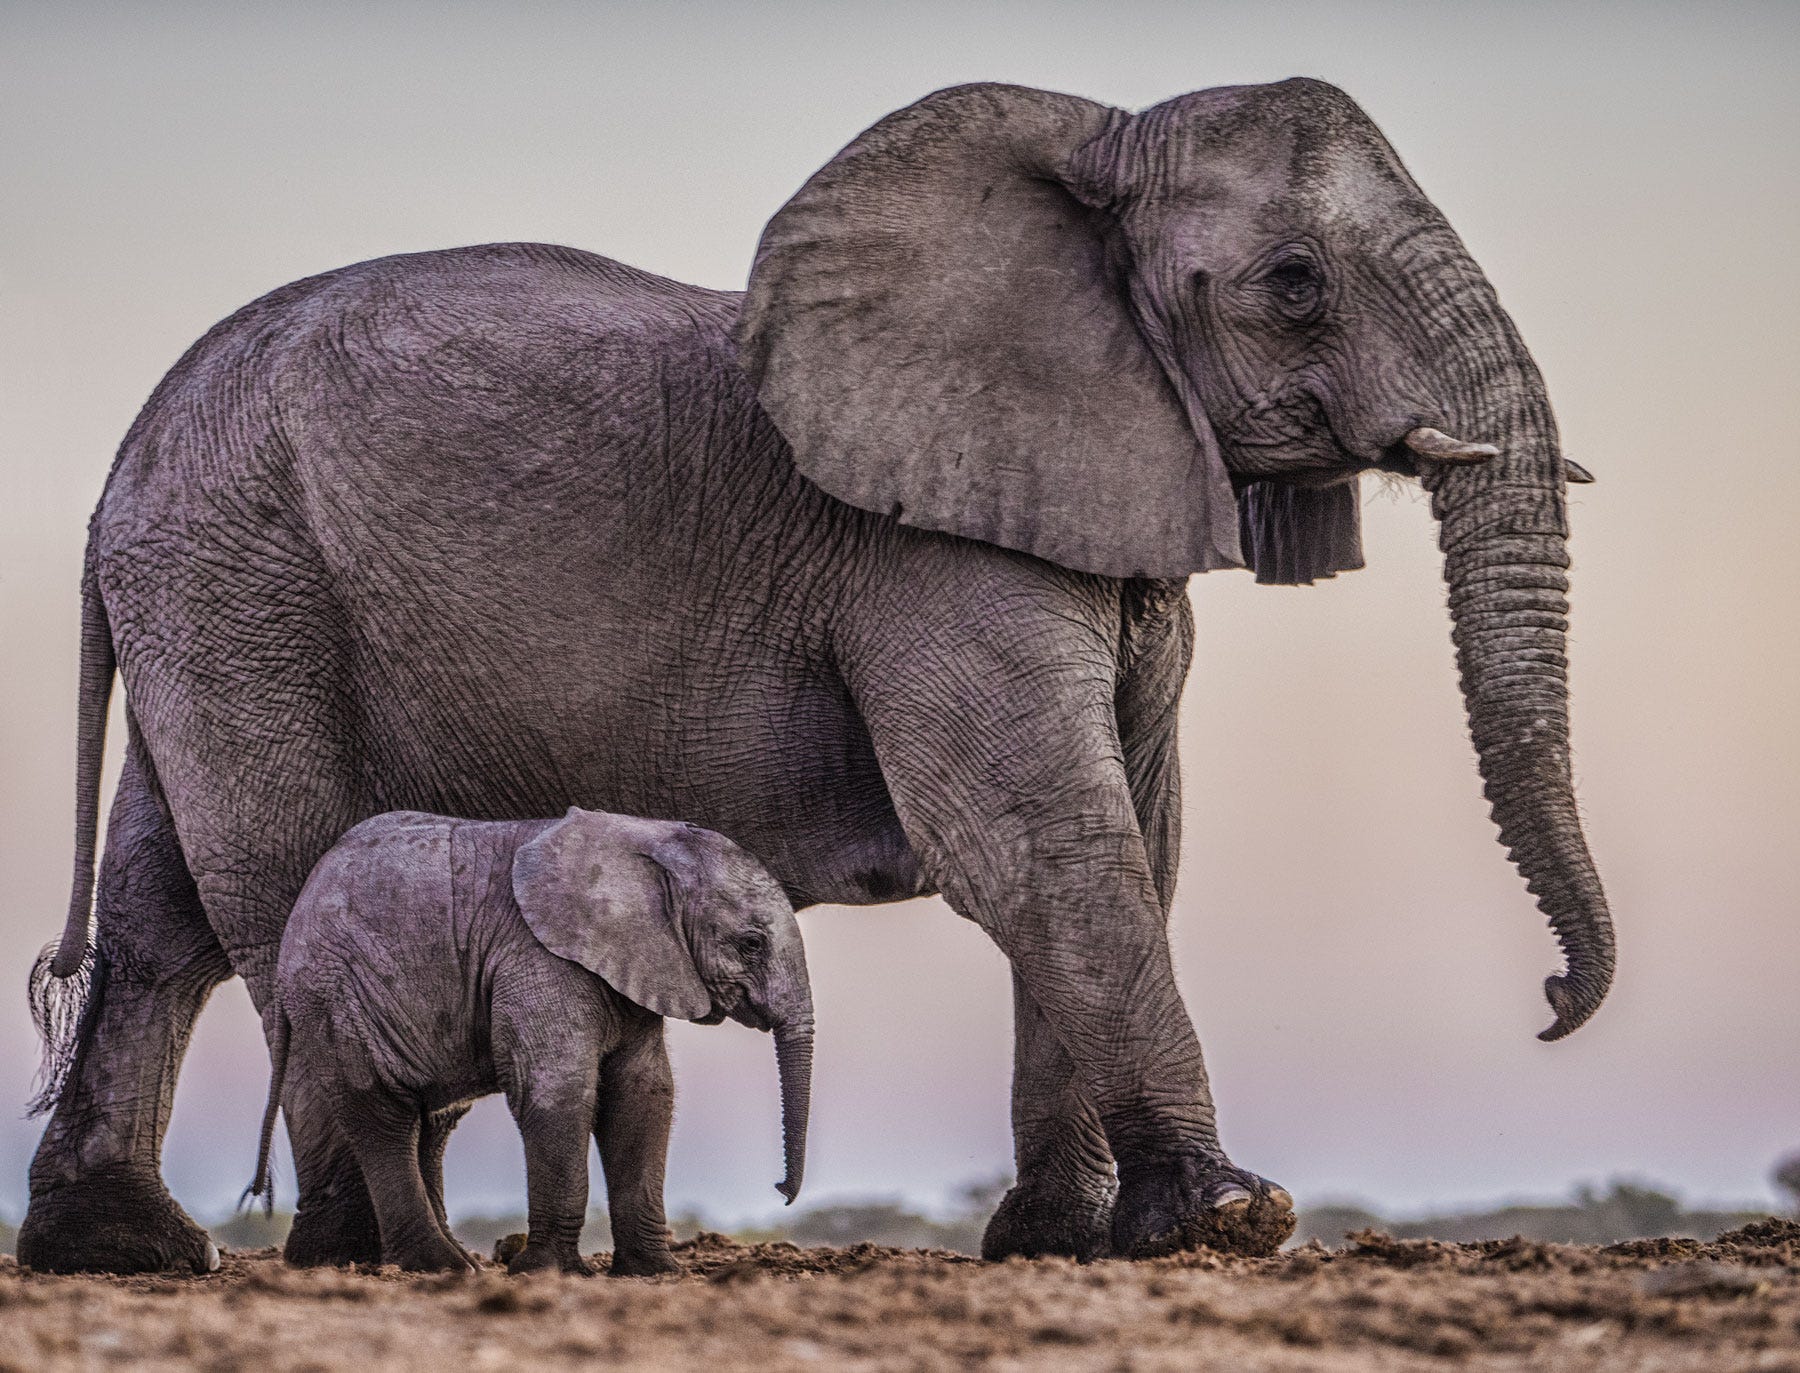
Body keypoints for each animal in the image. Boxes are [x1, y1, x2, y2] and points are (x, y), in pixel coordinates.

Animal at [241, 807, 813, 1275]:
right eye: (751, 943)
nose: (780, 1191)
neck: (646, 844)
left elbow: (644, 1097)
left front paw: (655, 1272)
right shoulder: (538, 958)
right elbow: (559, 1091)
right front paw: (548, 1273)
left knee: (432, 1122)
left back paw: (458, 1261)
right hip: (340, 1000)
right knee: (385, 1118)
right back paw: (440, 1266)